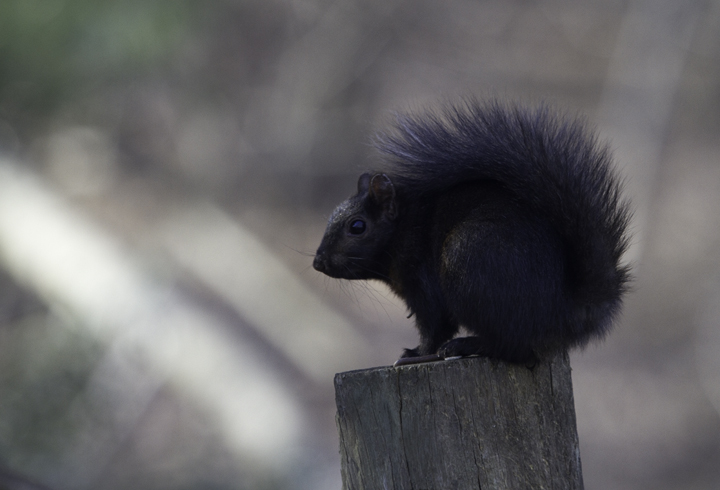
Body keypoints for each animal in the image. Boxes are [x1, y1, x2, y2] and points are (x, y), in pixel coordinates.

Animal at [310, 100, 632, 364]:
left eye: (357, 227)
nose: (318, 262)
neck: (403, 230)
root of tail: (564, 312)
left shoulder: (424, 284)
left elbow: (435, 326)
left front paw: (415, 353)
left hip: (470, 264)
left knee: (513, 347)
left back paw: (464, 346)